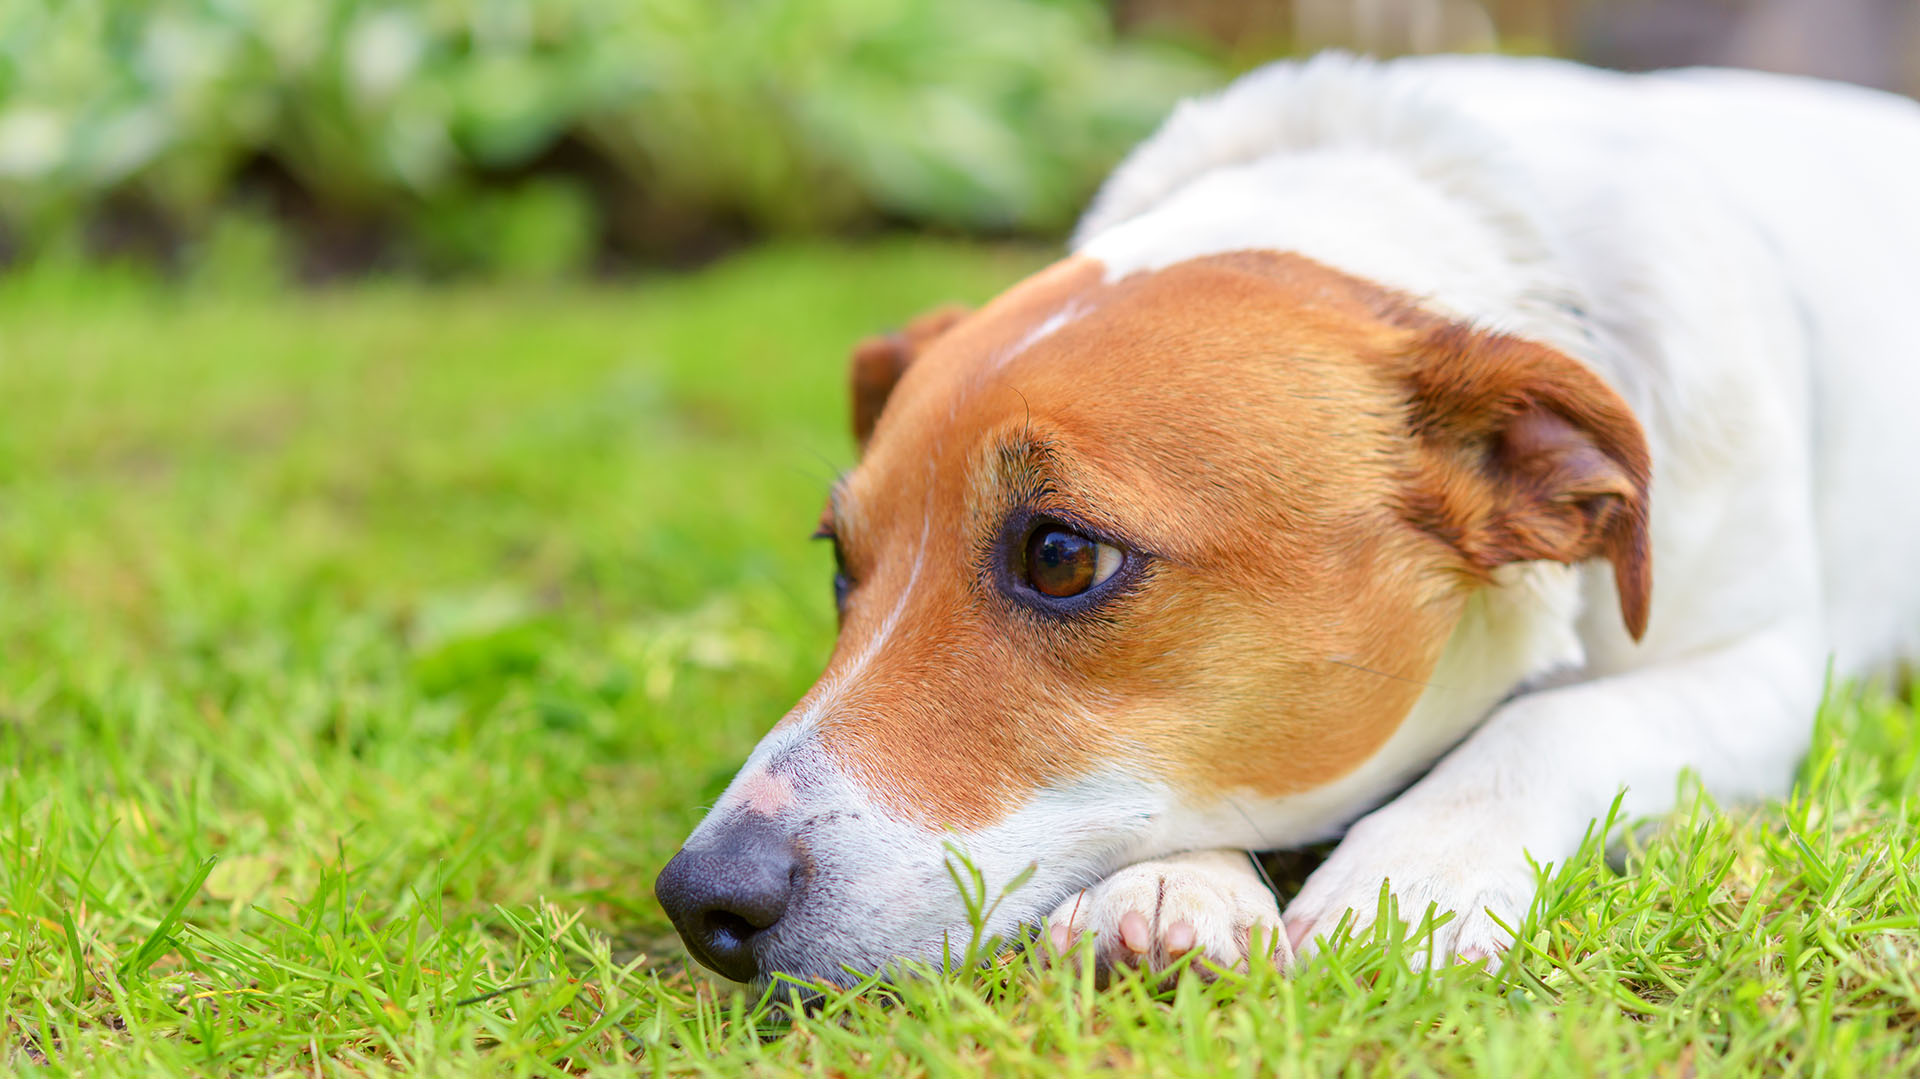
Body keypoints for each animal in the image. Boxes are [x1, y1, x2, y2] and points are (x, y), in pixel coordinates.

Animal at [656, 52, 1920, 983]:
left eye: (1061, 555)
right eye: (840, 564)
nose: (699, 897)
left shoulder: (1764, 668)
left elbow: (1554, 722)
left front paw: (1415, 870)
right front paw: (1167, 886)